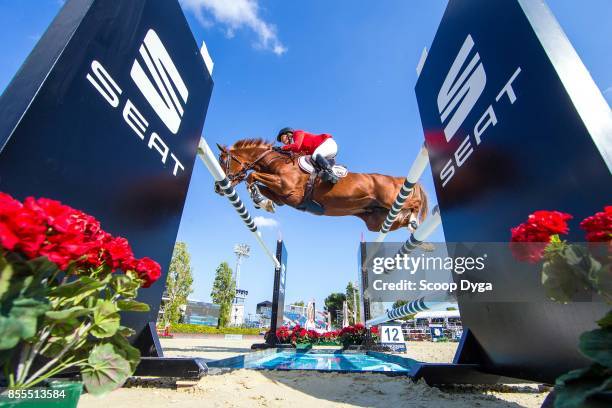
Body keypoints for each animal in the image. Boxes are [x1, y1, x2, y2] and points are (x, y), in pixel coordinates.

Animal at [218, 139, 428, 231]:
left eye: (222, 160)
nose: (218, 188)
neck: (276, 161)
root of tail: (397, 178)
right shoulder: (284, 197)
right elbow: (261, 187)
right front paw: (263, 202)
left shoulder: (287, 187)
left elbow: (252, 176)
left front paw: (258, 197)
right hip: (377, 221)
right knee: (396, 221)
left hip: (390, 200)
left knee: (415, 203)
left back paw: (414, 220)